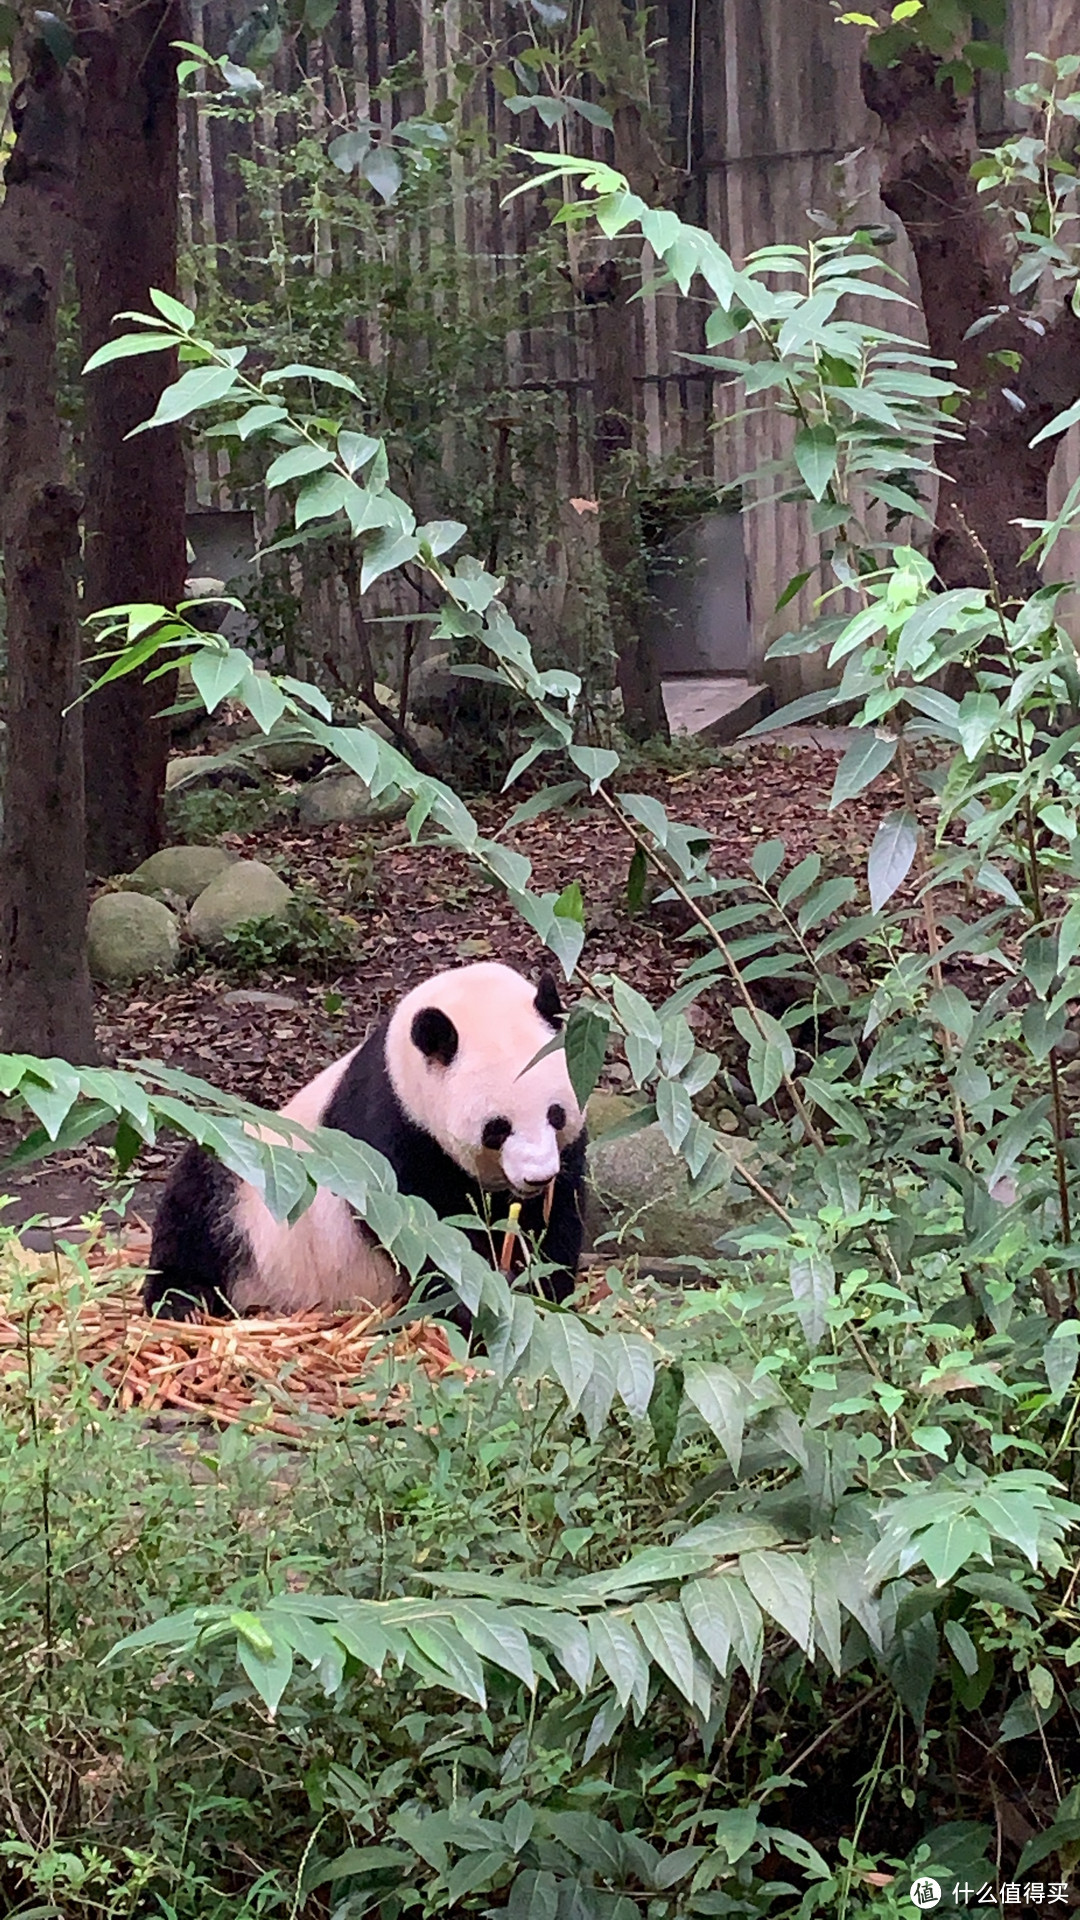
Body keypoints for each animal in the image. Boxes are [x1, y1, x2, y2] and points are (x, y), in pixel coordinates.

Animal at [144, 956, 588, 1320]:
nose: (537, 1176)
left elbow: (558, 1219)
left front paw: (541, 1288)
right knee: (198, 1207)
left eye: (555, 1114)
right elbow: (424, 1231)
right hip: (250, 1192)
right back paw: (182, 1300)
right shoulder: (389, 1130)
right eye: (497, 1128)